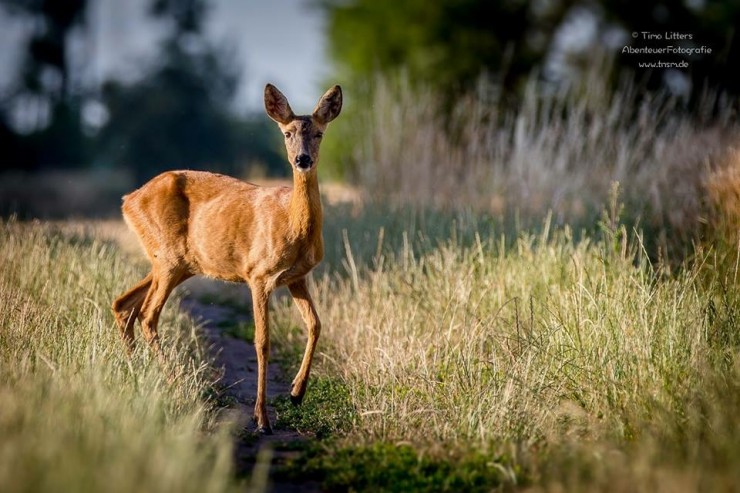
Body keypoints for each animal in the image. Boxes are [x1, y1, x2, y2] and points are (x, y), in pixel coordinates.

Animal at [111, 82, 342, 432]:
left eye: (318, 133)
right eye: (287, 133)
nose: (302, 159)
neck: (293, 225)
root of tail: (128, 200)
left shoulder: (297, 276)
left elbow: (315, 324)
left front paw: (296, 392)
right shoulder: (258, 274)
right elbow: (262, 341)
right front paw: (262, 418)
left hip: (175, 263)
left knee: (124, 303)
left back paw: (139, 373)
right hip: (168, 259)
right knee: (147, 313)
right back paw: (175, 383)